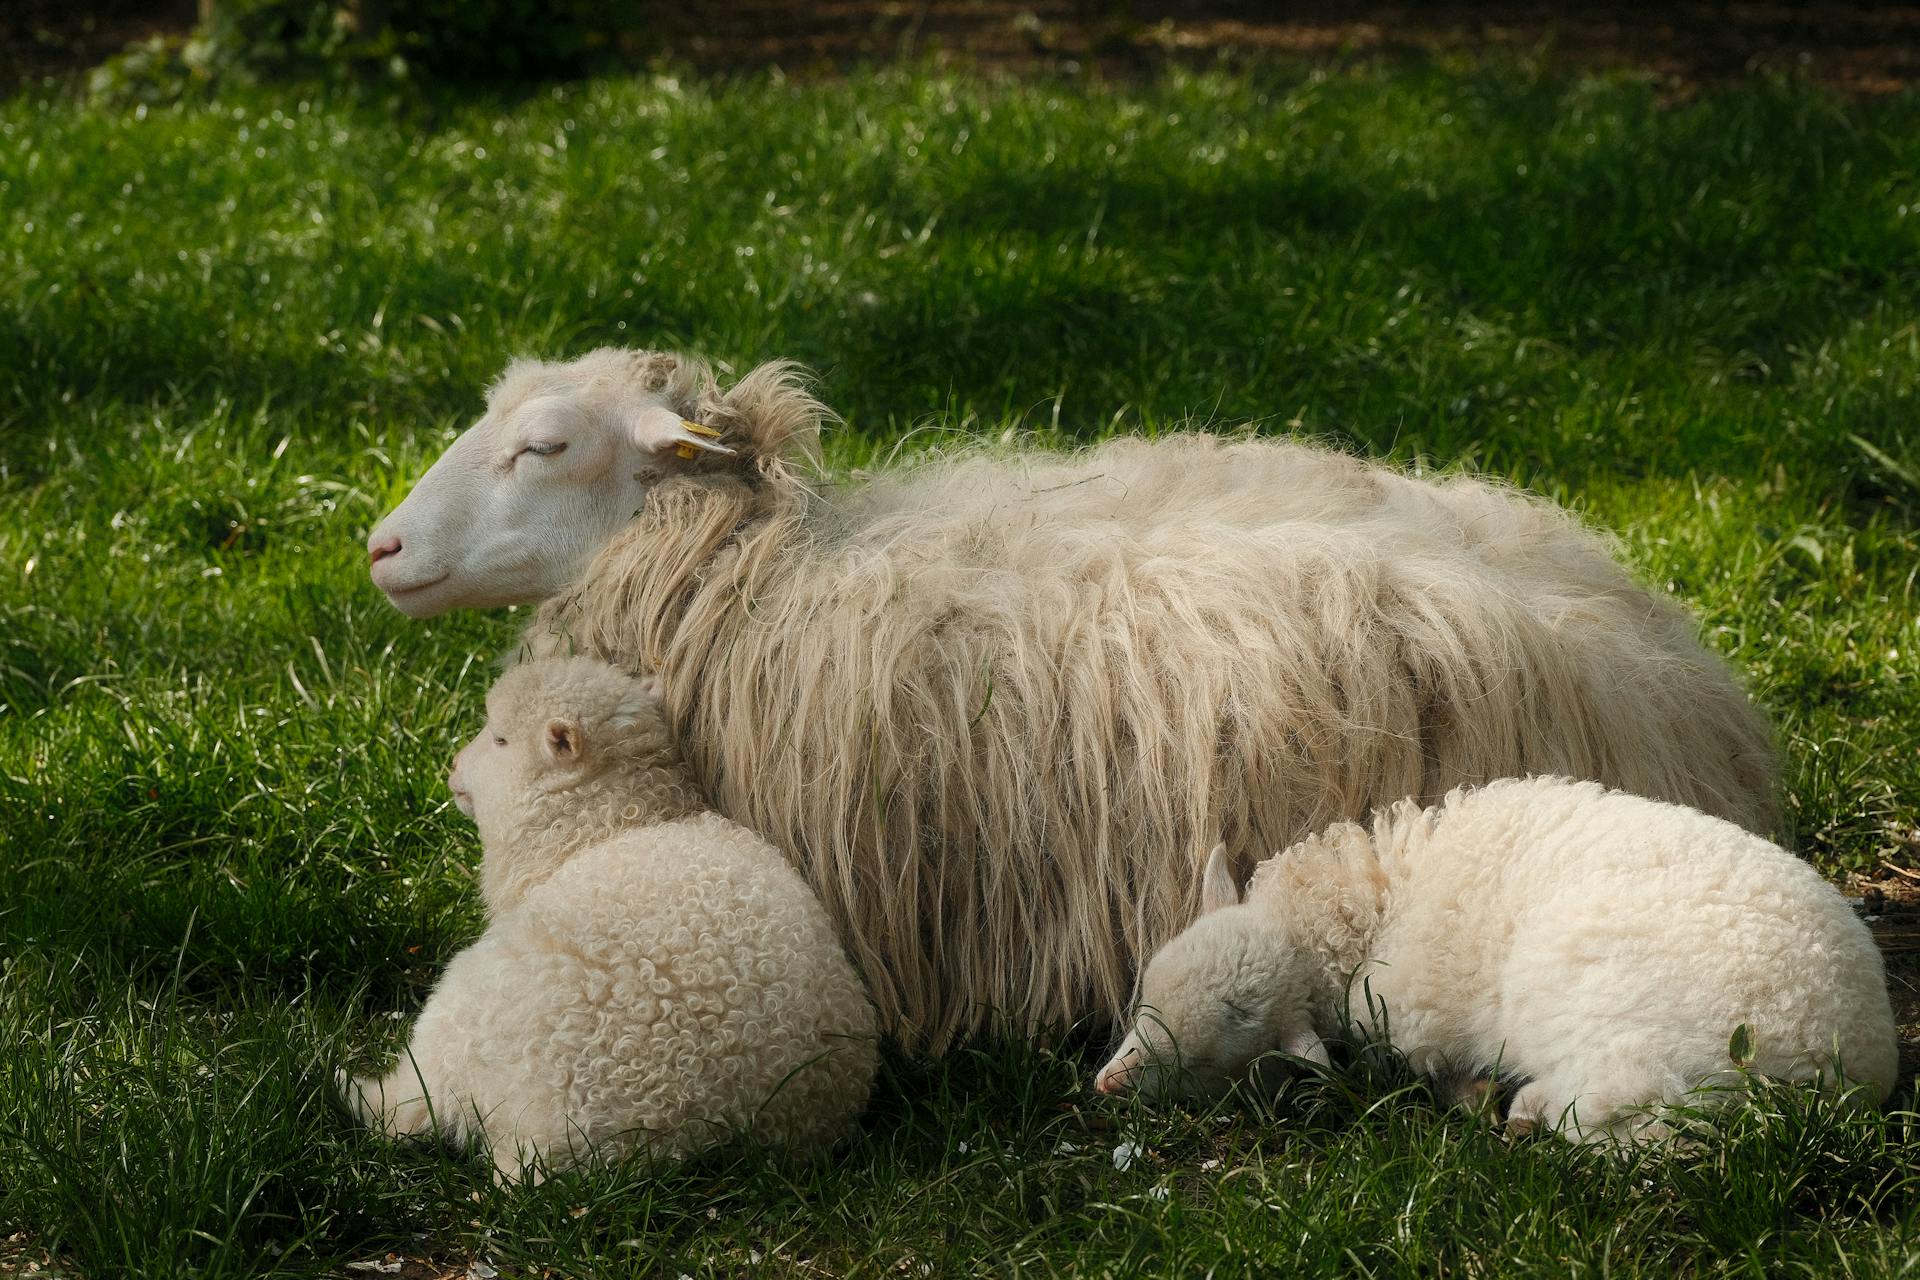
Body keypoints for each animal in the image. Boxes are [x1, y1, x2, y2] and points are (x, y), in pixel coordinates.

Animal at [339, 660, 879, 1182]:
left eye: (500, 739)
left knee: (406, 1105)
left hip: (461, 1016)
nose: (452, 766)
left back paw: (349, 1087)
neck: (614, 820)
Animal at [1090, 775, 1896, 1143]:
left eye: (1220, 1050)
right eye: (1145, 993)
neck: (1382, 903)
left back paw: (1524, 1111)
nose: (1106, 1084)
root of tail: (1852, 1067)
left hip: (1646, 1045)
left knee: (1635, 1125)